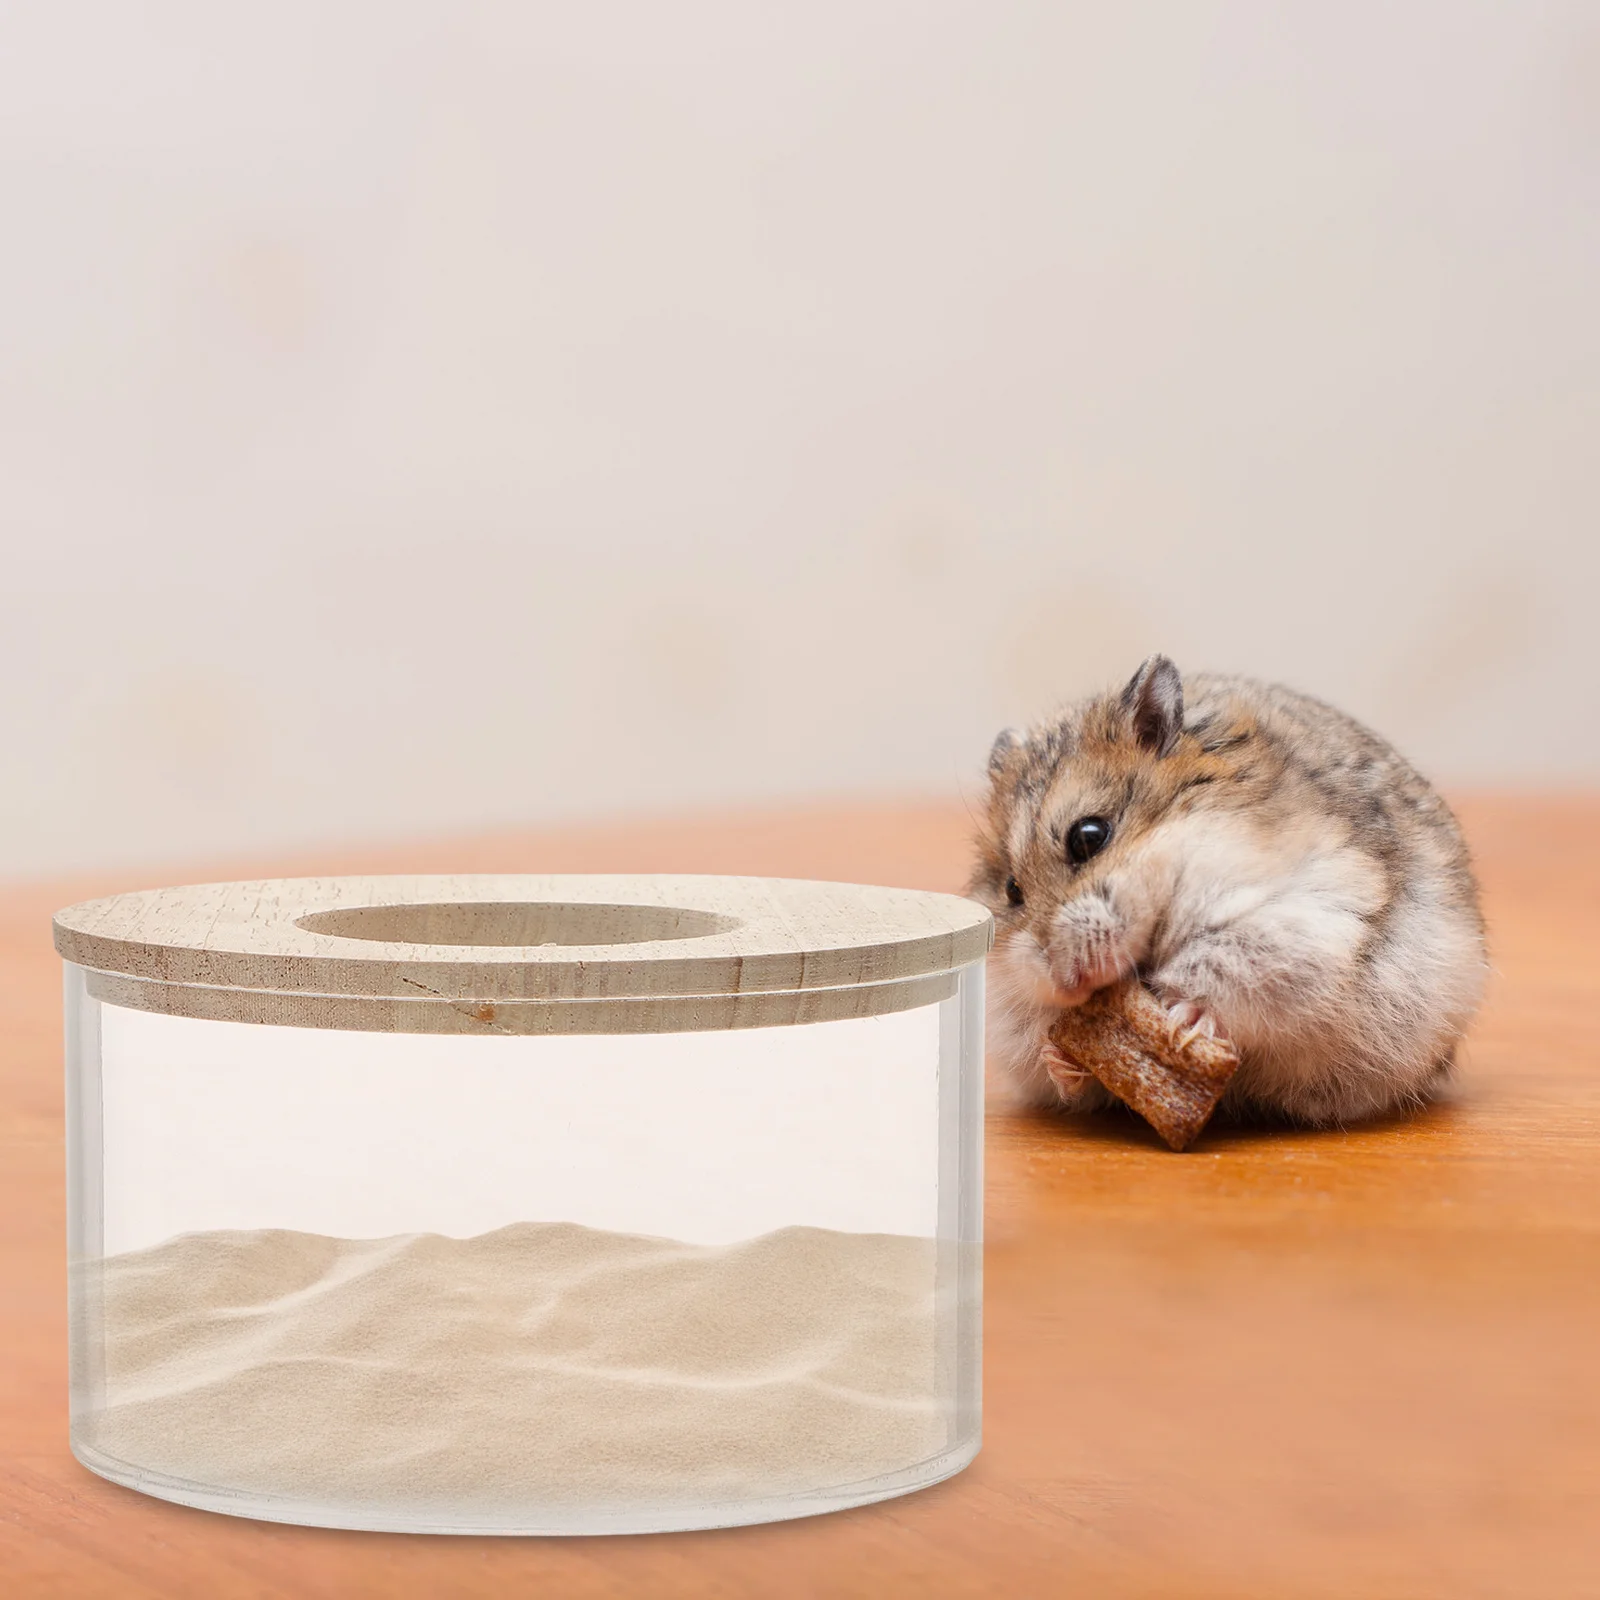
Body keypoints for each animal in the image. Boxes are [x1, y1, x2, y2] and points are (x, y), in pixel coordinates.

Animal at [970, 656, 1487, 1128]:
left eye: (1089, 836)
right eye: (1012, 890)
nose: (1066, 984)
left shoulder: (1295, 924)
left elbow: (1216, 973)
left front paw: (1180, 1022)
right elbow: (1043, 1046)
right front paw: (1058, 1054)